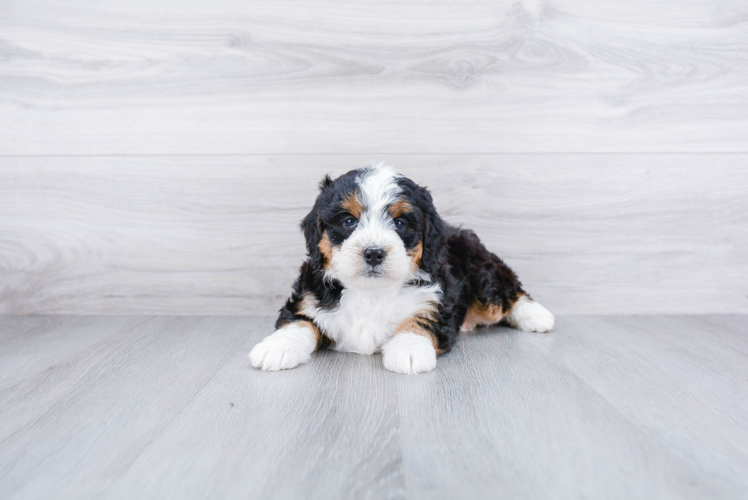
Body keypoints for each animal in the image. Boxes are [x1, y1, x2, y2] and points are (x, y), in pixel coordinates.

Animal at [251, 164, 556, 376]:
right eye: (349, 221)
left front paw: (409, 349)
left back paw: (537, 316)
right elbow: (298, 321)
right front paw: (276, 347)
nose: (374, 252)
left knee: (507, 291)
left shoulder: (436, 300)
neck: (371, 291)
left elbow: (419, 319)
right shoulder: (310, 297)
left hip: (481, 270)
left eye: (399, 224)